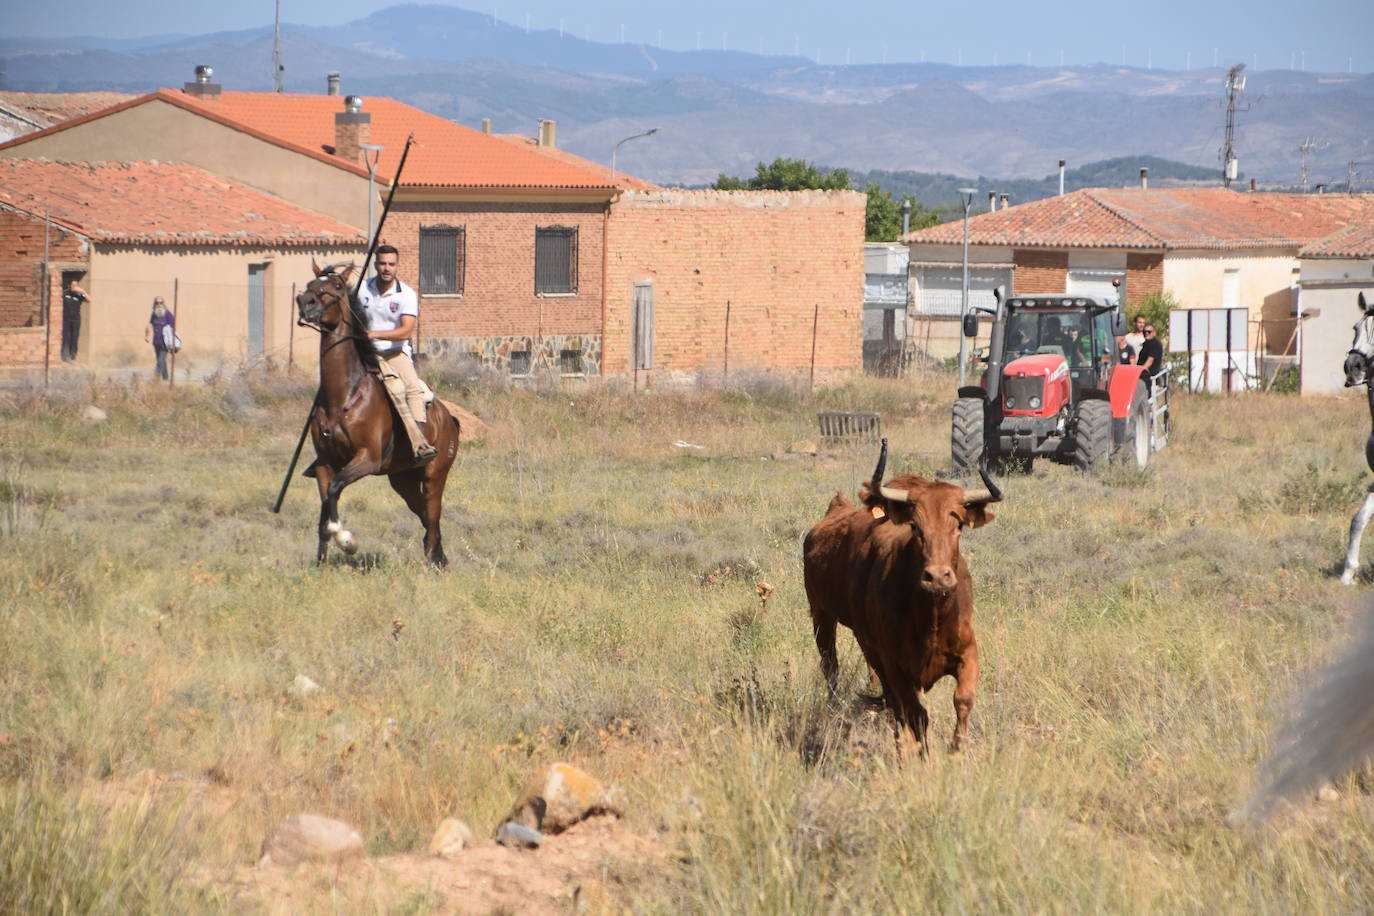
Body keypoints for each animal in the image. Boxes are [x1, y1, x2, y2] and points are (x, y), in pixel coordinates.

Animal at [295, 258, 461, 568]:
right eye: (310, 284)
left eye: (337, 285)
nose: (305, 302)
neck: (343, 397)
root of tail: (450, 420)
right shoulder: (324, 463)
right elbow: (325, 509)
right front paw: (321, 561)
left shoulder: (367, 458)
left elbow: (335, 489)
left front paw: (347, 540)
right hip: (402, 480)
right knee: (425, 516)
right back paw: (438, 557)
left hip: (435, 475)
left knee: (433, 516)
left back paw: (434, 560)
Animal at [802, 442, 1000, 752]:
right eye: (915, 526)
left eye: (958, 526)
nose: (937, 577)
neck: (932, 616)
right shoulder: (896, 667)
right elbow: (916, 714)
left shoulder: (968, 653)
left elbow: (963, 700)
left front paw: (956, 750)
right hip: (823, 616)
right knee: (831, 666)